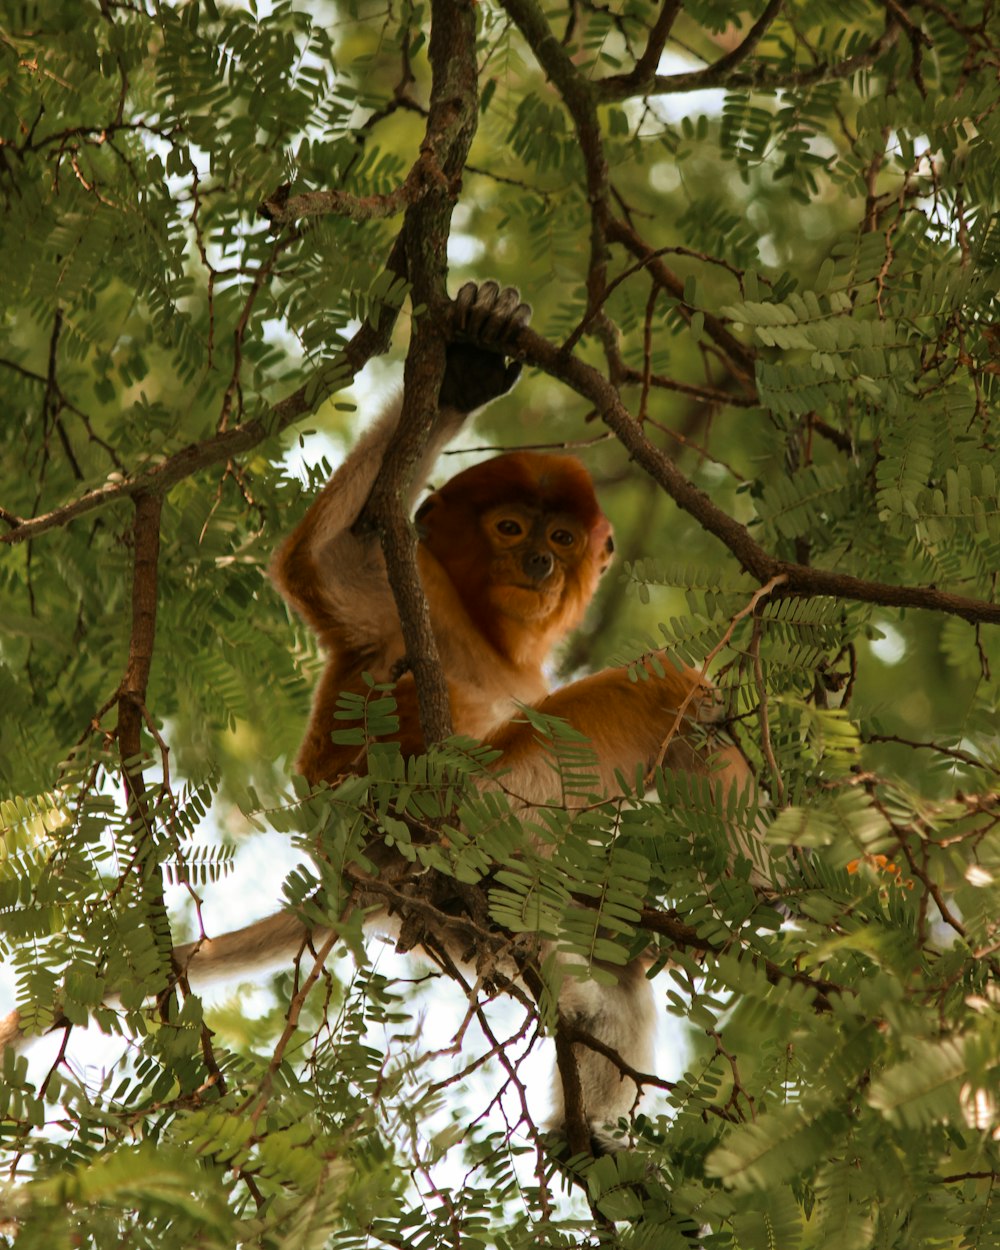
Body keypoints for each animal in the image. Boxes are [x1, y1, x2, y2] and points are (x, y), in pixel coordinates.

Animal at [0, 283, 760, 1150]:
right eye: (510, 528)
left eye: (563, 538)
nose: (539, 564)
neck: (487, 635)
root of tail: (353, 868)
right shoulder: (417, 591)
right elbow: (323, 563)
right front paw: (462, 371)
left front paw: (468, 363)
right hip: (472, 805)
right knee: (661, 689)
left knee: (611, 951)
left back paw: (581, 1124)